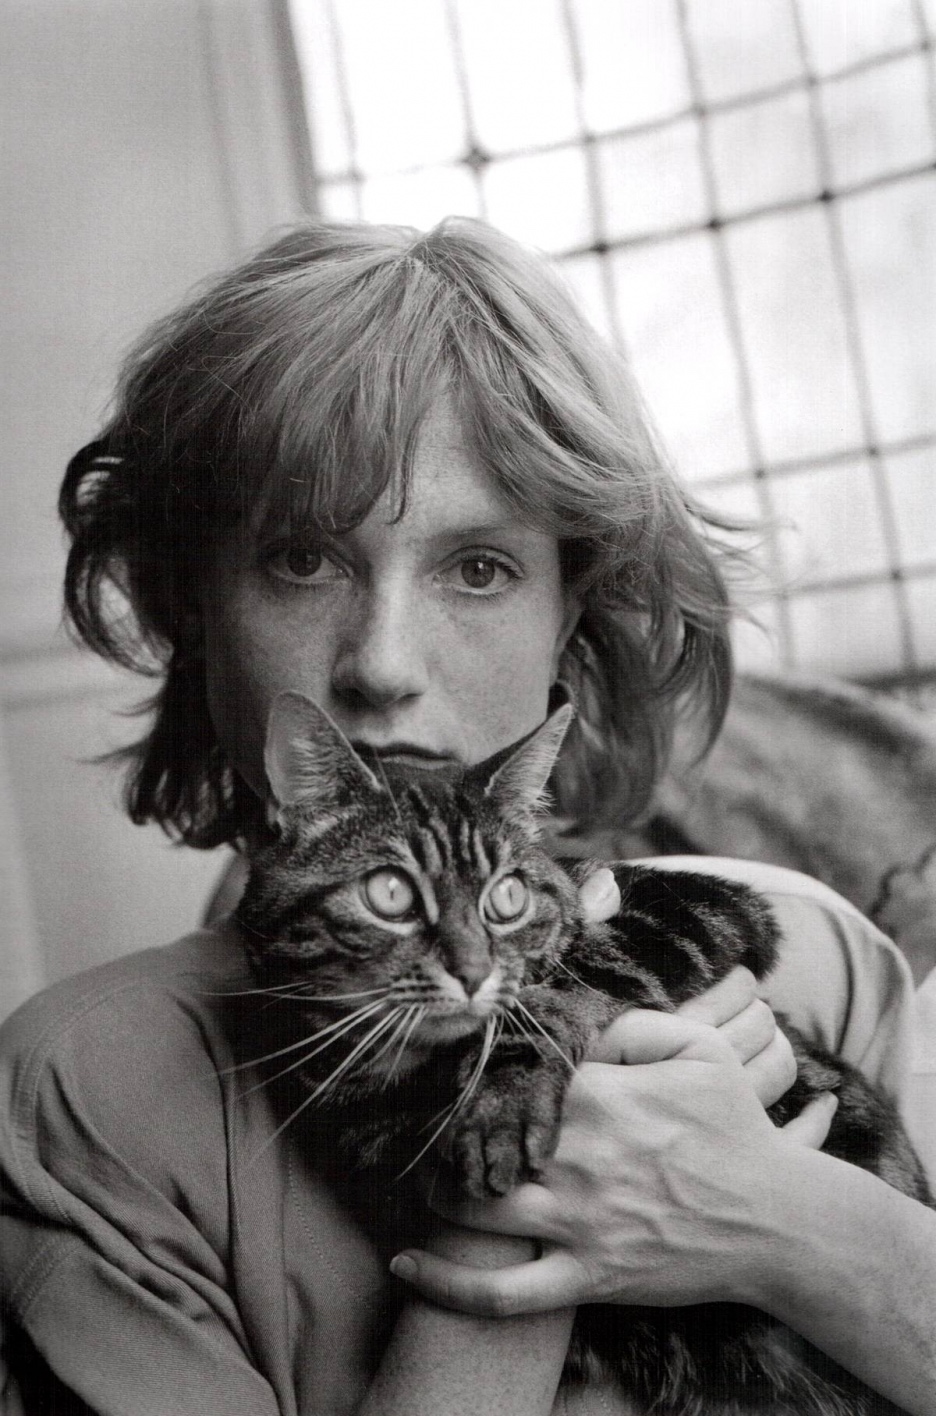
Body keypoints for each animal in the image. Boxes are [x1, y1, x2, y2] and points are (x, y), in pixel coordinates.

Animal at [235, 690, 932, 1416]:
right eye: (390, 894)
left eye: (508, 897)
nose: (472, 971)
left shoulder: (709, 904)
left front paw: (502, 1102)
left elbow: (578, 974)